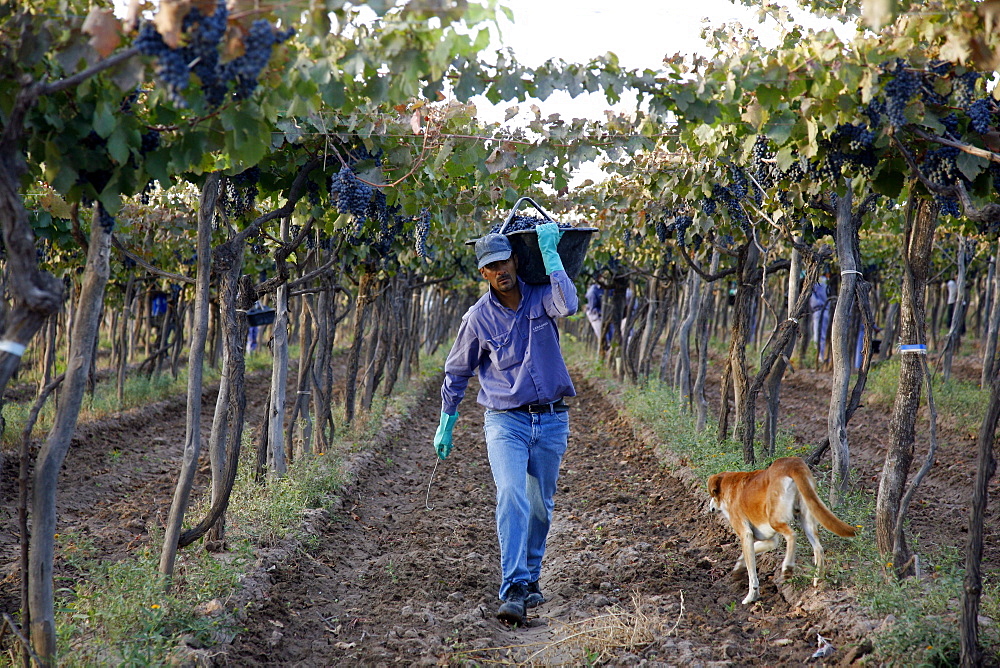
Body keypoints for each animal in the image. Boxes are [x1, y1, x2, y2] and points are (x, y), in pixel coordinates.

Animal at [704, 456, 860, 604]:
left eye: (712, 495)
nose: (710, 508)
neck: (728, 484)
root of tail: (792, 463)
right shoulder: (770, 540)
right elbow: (754, 551)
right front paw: (739, 567)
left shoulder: (745, 534)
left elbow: (752, 572)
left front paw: (751, 595)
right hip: (807, 515)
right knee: (818, 548)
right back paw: (817, 578)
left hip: (775, 519)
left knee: (792, 535)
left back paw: (788, 568)